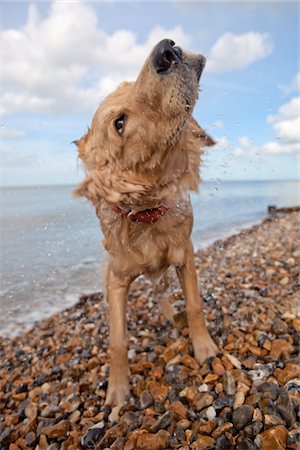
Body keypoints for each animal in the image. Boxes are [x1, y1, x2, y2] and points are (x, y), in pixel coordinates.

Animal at [74, 37, 217, 412]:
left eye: (130, 83)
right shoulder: (117, 279)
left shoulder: (185, 254)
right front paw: (117, 390)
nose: (167, 49)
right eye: (119, 123)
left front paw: (205, 348)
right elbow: (117, 342)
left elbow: (194, 305)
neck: (148, 215)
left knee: (162, 292)